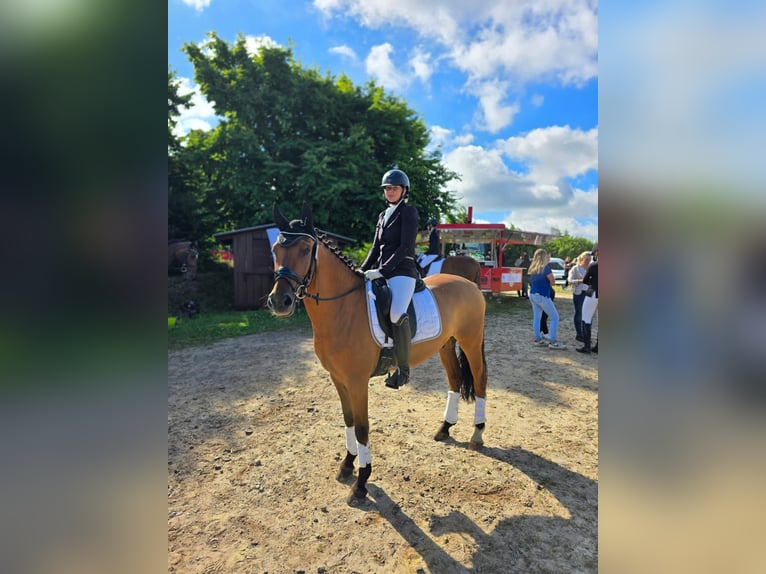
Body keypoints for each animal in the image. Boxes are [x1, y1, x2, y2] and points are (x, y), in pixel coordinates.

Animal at [267, 204, 488, 504]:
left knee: (479, 379)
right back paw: (445, 428)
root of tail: (469, 284)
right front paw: (347, 465)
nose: (280, 301)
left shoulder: (357, 381)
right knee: (455, 380)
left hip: (470, 341)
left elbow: (362, 428)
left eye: (304, 249)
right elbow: (348, 421)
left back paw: (477, 433)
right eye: (275, 250)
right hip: (445, 344)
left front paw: (360, 484)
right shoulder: (338, 378)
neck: (343, 309)